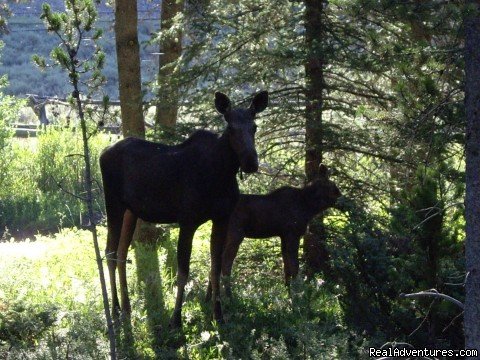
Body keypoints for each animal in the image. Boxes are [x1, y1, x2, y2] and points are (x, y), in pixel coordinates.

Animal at [100, 89, 268, 326]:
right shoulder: (188, 220)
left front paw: (218, 315)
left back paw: (126, 307)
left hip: (131, 211)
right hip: (113, 203)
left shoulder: (222, 218)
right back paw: (115, 309)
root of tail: (103, 153)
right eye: (231, 128)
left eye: (254, 127)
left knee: (122, 252)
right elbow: (182, 273)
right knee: (110, 251)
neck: (222, 173)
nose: (251, 162)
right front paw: (176, 319)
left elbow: (215, 268)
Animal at [222, 165, 342, 294]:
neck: (309, 208)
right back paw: (228, 294)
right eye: (334, 186)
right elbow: (295, 267)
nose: (341, 197)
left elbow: (287, 267)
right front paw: (299, 293)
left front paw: (288, 291)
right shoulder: (293, 234)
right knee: (226, 263)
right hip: (236, 233)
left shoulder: (284, 236)